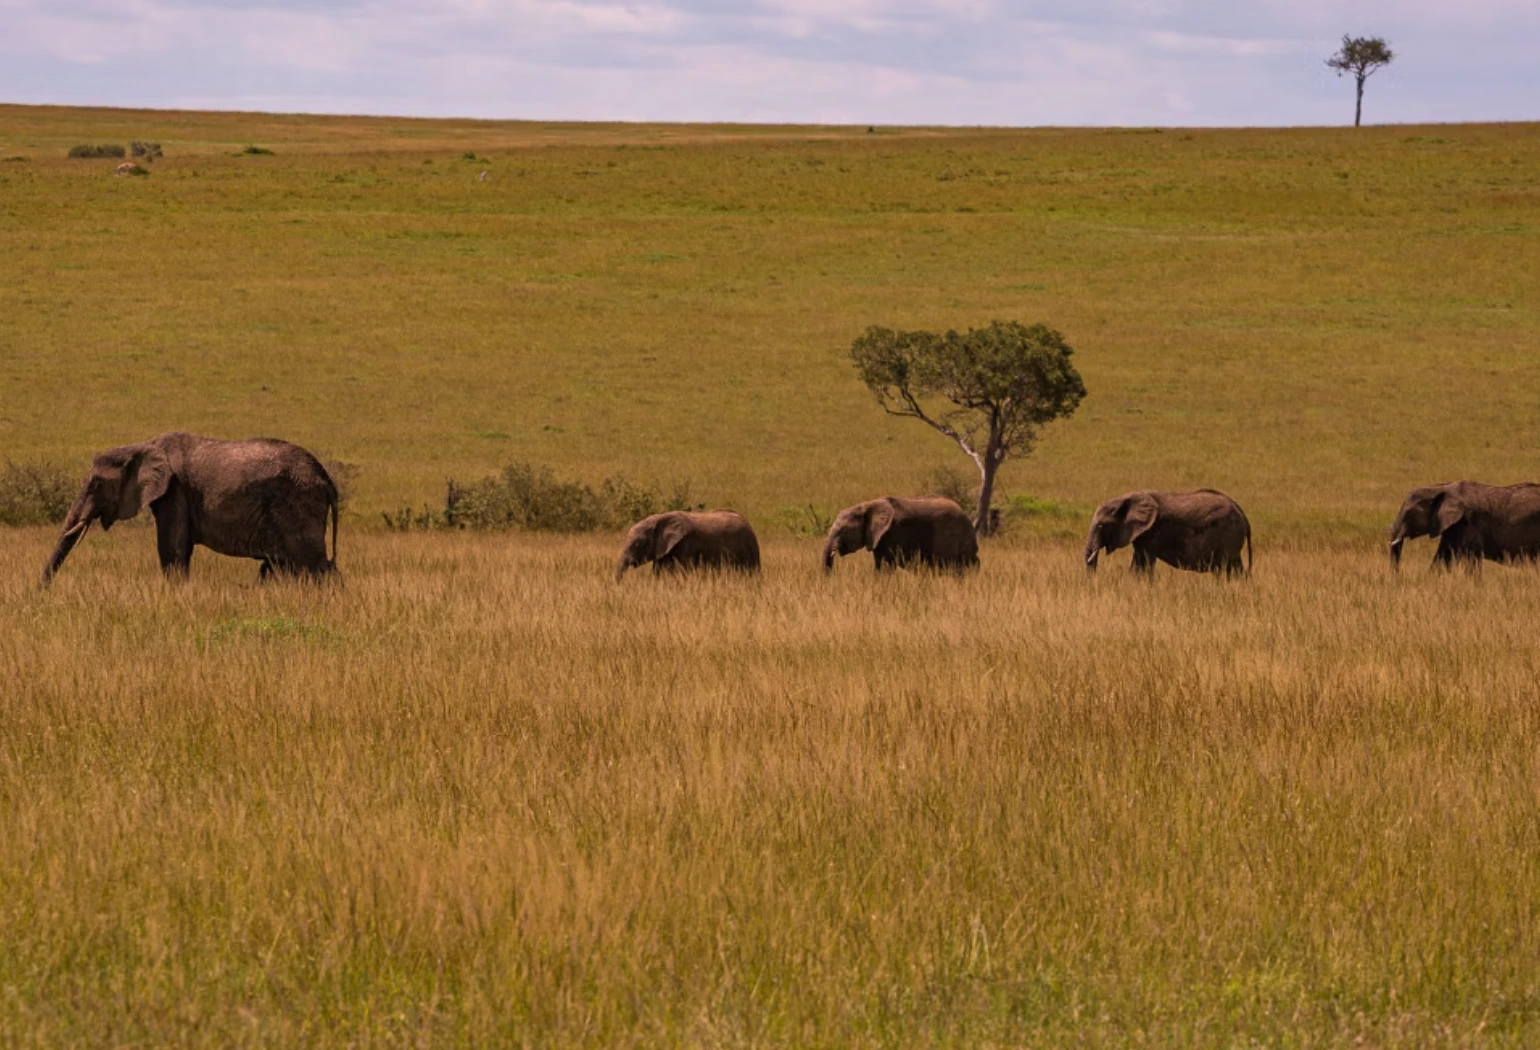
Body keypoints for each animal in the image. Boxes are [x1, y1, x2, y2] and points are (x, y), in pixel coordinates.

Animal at [41, 431, 338, 585]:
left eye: (96, 484)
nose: (42, 591)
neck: (143, 445)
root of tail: (327, 479)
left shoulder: (174, 491)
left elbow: (172, 550)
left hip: (298, 504)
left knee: (313, 564)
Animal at [1084, 489, 1251, 576]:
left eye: (1100, 526)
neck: (1126, 498)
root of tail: (1241, 512)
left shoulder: (1150, 533)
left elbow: (1143, 564)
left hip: (1229, 533)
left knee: (1227, 566)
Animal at [1389, 480, 1540, 570]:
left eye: (1409, 513)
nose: (1398, 578)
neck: (1441, 488)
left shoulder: (1470, 522)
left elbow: (1471, 558)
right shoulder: (1452, 525)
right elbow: (1442, 557)